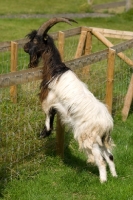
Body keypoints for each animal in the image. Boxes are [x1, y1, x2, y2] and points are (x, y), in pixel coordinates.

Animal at [23, 17, 117, 183]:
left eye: (34, 40)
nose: (24, 47)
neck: (55, 70)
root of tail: (107, 124)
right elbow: (52, 114)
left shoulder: (50, 98)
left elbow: (48, 114)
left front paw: (44, 133)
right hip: (100, 139)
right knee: (110, 156)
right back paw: (114, 176)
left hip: (89, 137)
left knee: (100, 160)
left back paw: (103, 181)